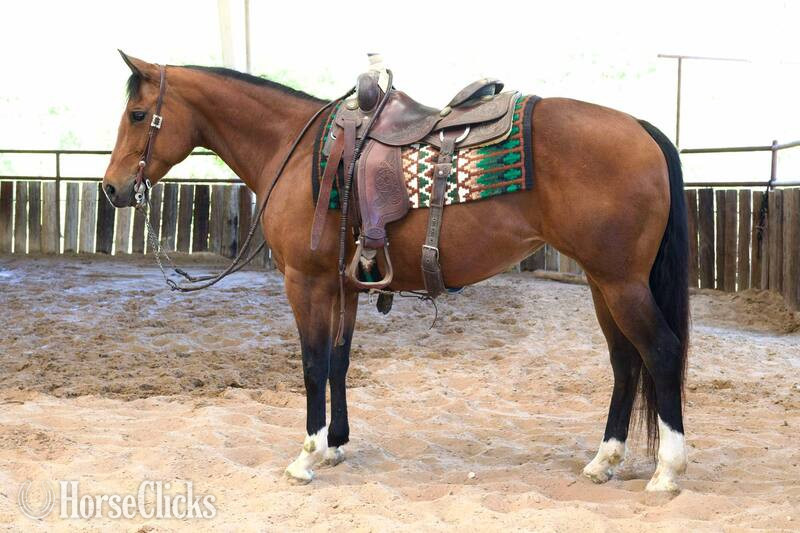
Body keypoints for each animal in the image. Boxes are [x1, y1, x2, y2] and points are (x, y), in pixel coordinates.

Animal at [103, 52, 689, 492]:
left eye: (137, 115)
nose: (112, 188)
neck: (294, 150)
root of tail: (641, 128)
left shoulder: (306, 283)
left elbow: (312, 364)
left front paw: (307, 455)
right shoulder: (344, 285)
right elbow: (338, 362)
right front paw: (336, 445)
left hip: (621, 284)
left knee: (660, 352)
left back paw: (667, 471)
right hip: (601, 283)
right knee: (624, 362)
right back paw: (604, 461)